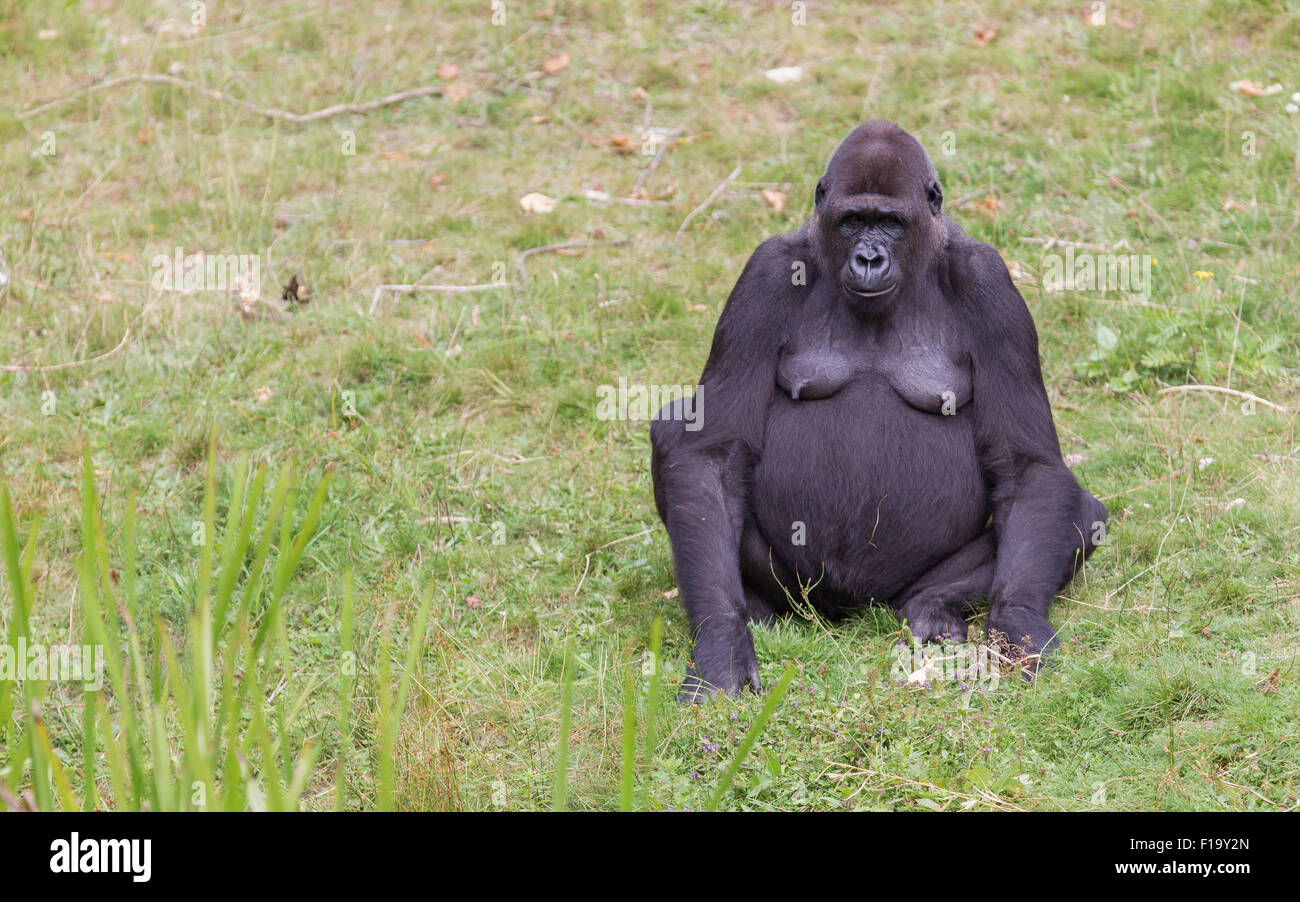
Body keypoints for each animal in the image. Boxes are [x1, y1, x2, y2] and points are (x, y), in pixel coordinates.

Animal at [650, 122, 1107, 701]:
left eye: (890, 223)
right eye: (853, 222)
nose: (869, 259)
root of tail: (854, 610)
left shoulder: (990, 283)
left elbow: (1029, 467)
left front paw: (1018, 622)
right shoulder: (765, 273)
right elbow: (713, 453)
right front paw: (721, 642)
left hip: (895, 596)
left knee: (1082, 512)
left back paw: (934, 606)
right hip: (803, 595)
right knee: (671, 433)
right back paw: (757, 612)